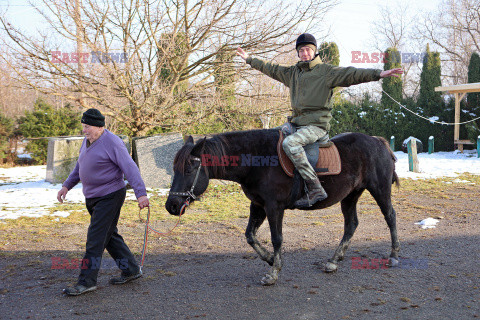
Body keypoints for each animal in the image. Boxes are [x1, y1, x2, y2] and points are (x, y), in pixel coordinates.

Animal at [166, 129, 402, 286]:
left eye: (190, 168)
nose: (172, 205)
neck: (258, 161)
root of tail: (378, 141)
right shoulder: (257, 205)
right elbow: (250, 235)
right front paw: (270, 259)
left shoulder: (274, 207)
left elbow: (277, 238)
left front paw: (274, 272)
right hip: (350, 196)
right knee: (351, 224)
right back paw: (334, 261)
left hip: (380, 189)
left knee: (390, 216)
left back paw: (393, 255)